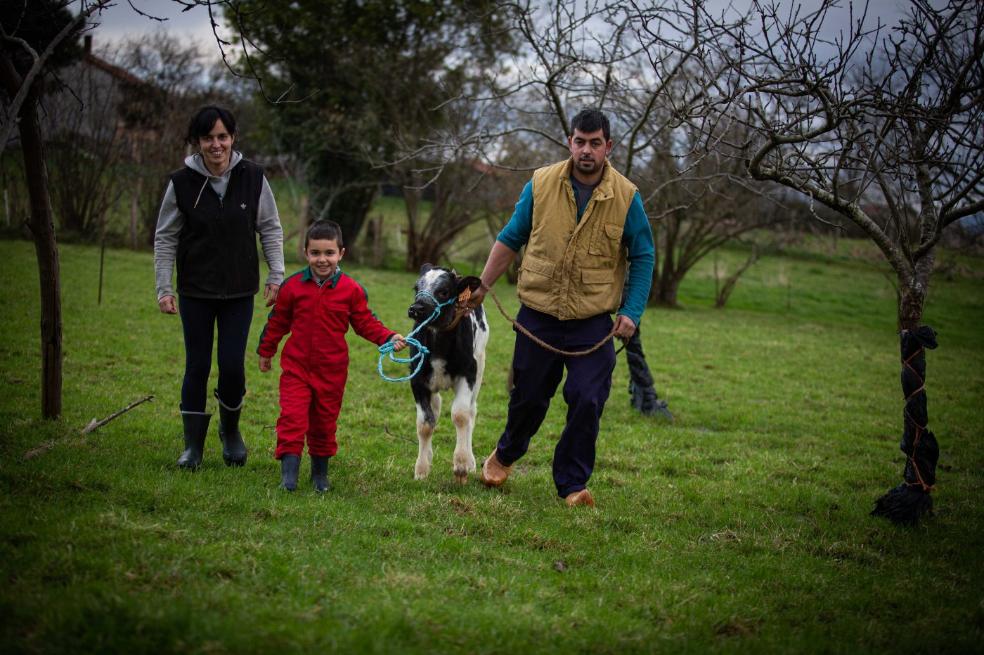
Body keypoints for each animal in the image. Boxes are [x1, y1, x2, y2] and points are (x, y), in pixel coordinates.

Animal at [406, 264, 486, 484]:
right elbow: (425, 423)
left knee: (471, 411)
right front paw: (421, 469)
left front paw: (461, 465)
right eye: (416, 288)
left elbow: (460, 415)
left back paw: (470, 461)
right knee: (436, 408)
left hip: (480, 364)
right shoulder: (417, 380)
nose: (416, 308)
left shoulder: (468, 373)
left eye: (443, 292)